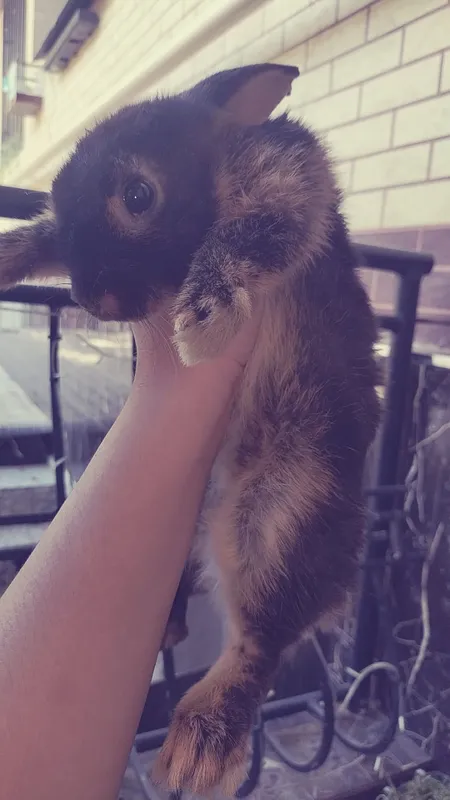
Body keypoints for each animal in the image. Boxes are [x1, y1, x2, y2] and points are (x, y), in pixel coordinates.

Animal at [0, 63, 380, 795]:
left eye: (138, 196)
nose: (91, 299)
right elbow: (45, 237)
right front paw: (12, 251)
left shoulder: (289, 181)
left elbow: (248, 234)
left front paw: (204, 323)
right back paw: (172, 632)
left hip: (283, 509)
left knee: (260, 643)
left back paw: (199, 747)